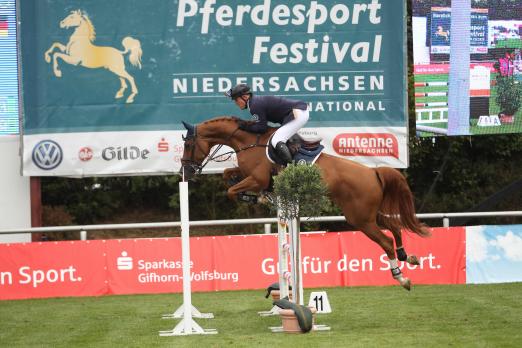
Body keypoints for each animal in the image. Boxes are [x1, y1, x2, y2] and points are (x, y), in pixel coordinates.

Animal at [181, 117, 428, 290]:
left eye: (189, 144)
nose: (186, 171)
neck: (248, 142)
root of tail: (373, 172)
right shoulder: (247, 174)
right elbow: (227, 174)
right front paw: (254, 194)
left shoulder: (257, 178)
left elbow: (232, 191)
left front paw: (256, 197)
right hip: (366, 215)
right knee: (395, 227)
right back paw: (408, 256)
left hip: (361, 220)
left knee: (386, 242)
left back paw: (402, 279)